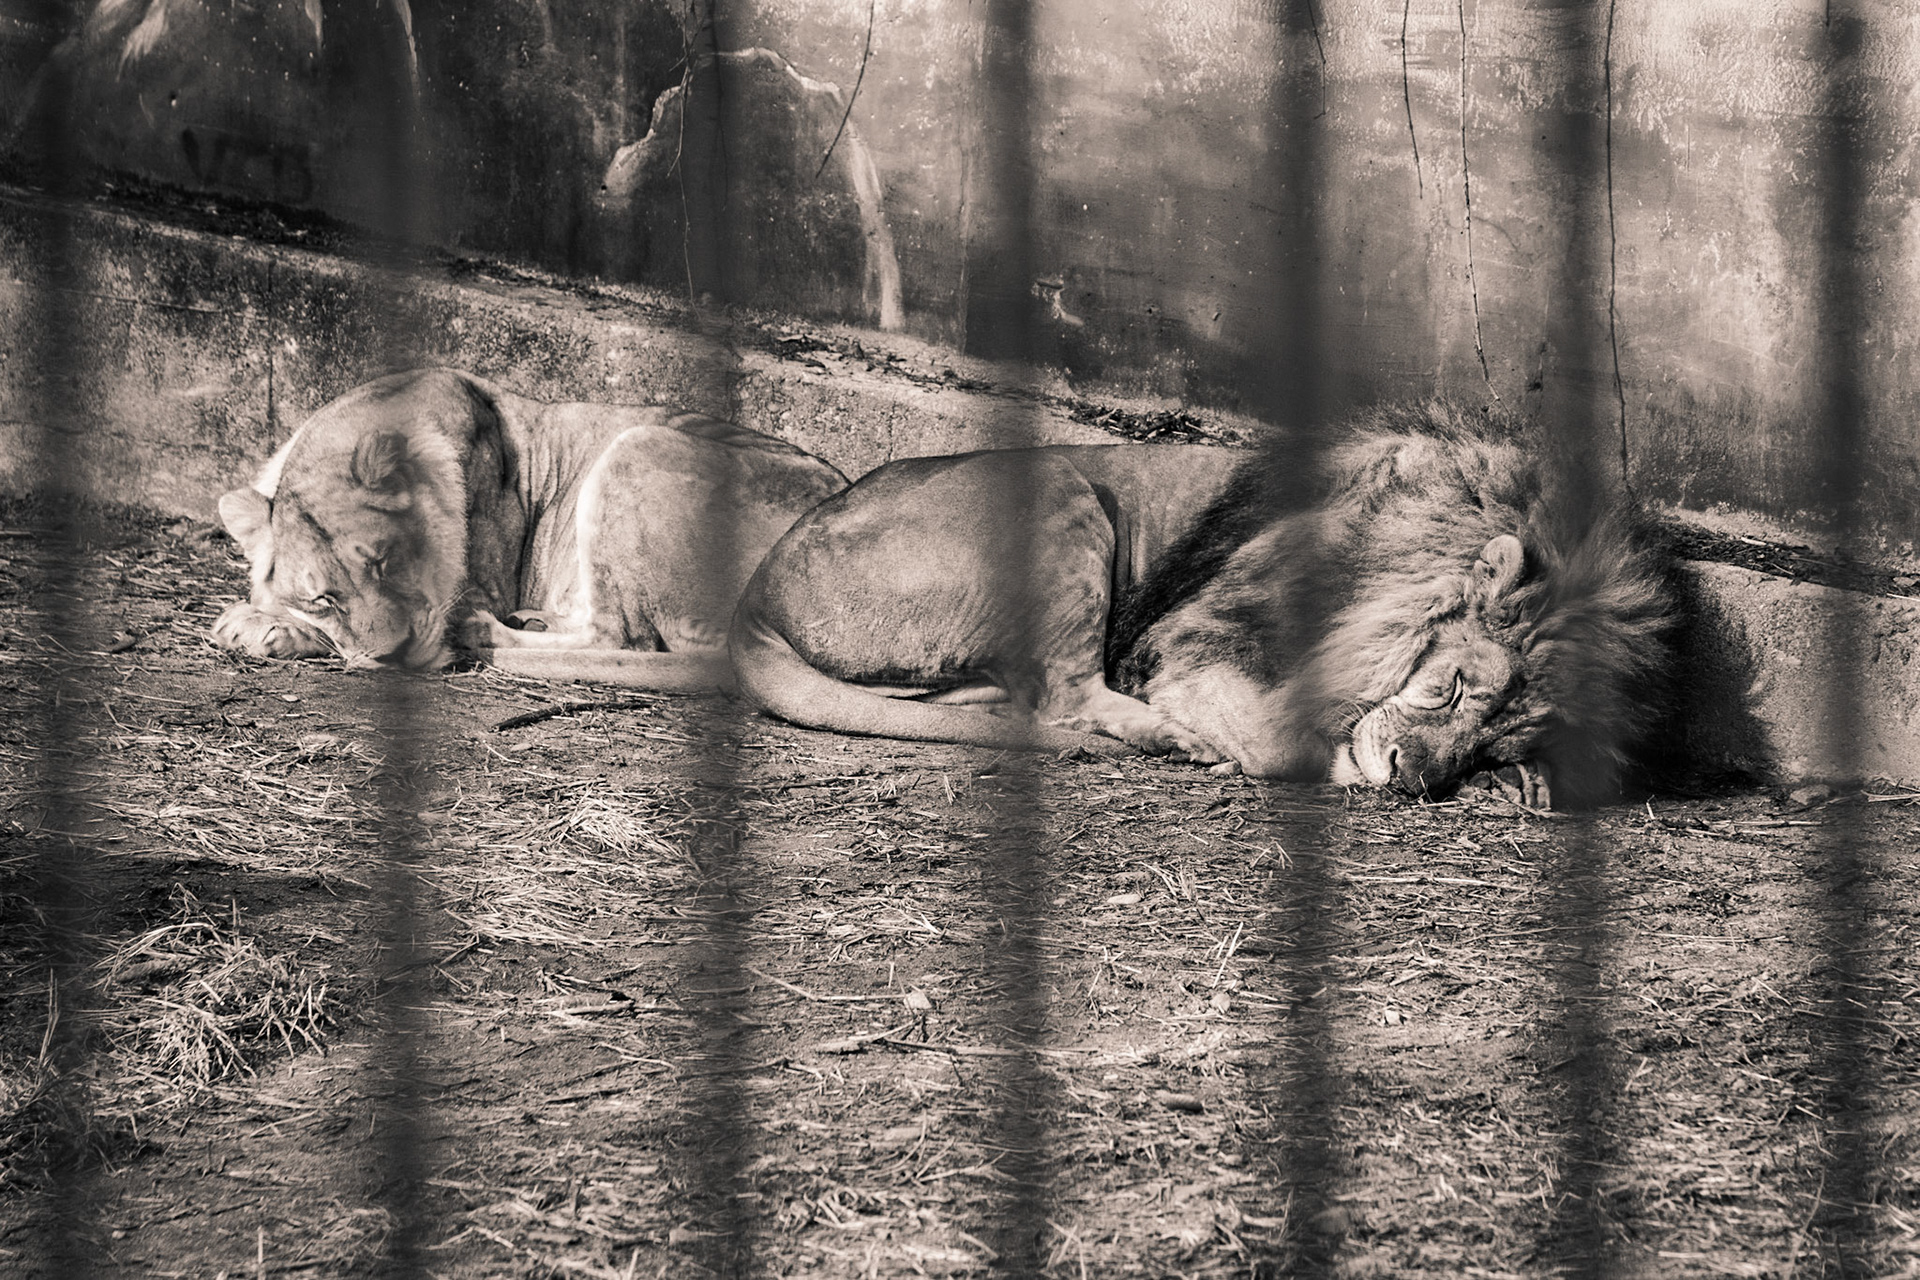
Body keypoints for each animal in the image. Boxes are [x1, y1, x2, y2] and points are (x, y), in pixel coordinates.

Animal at [212, 368, 848, 687]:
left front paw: (256, 625)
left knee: (622, 639)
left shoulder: (483, 582)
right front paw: (257, 623)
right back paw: (531, 619)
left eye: (386, 561)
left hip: (637, 444)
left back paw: (485, 631)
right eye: (323, 597)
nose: (395, 655)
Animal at [729, 402, 1671, 806]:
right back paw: (1177, 742)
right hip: (1063, 484)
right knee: (1069, 696)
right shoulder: (1195, 639)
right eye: (1453, 687)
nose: (1413, 780)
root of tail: (757, 591)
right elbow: (1274, 735)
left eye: (1492, 747)